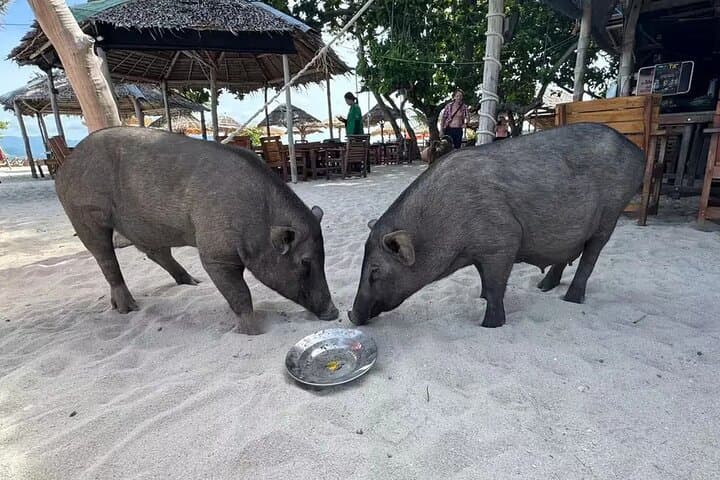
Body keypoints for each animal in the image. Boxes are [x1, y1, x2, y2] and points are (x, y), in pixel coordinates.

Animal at [55, 127, 338, 334]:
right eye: (304, 261)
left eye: (324, 256)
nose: (334, 312)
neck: (256, 219)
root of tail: (65, 165)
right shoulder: (215, 255)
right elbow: (240, 293)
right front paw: (251, 332)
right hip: (85, 215)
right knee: (106, 259)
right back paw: (128, 308)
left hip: (145, 227)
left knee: (156, 253)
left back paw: (192, 282)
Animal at [349, 123, 644, 328]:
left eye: (375, 270)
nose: (351, 315)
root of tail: (636, 150)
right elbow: (483, 279)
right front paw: (479, 297)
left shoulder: (503, 240)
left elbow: (494, 286)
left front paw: (489, 324)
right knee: (568, 253)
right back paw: (542, 287)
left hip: (611, 213)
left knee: (590, 257)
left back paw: (570, 298)